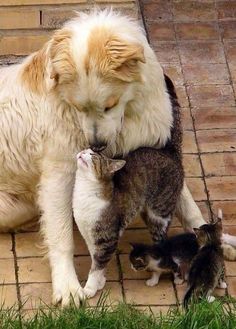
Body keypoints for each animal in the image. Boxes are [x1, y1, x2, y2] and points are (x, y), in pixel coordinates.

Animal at [0, 10, 205, 304]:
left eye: (109, 105)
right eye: (78, 107)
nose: (95, 146)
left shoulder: (158, 151)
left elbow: (187, 203)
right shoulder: (59, 175)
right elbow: (61, 235)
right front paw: (68, 287)